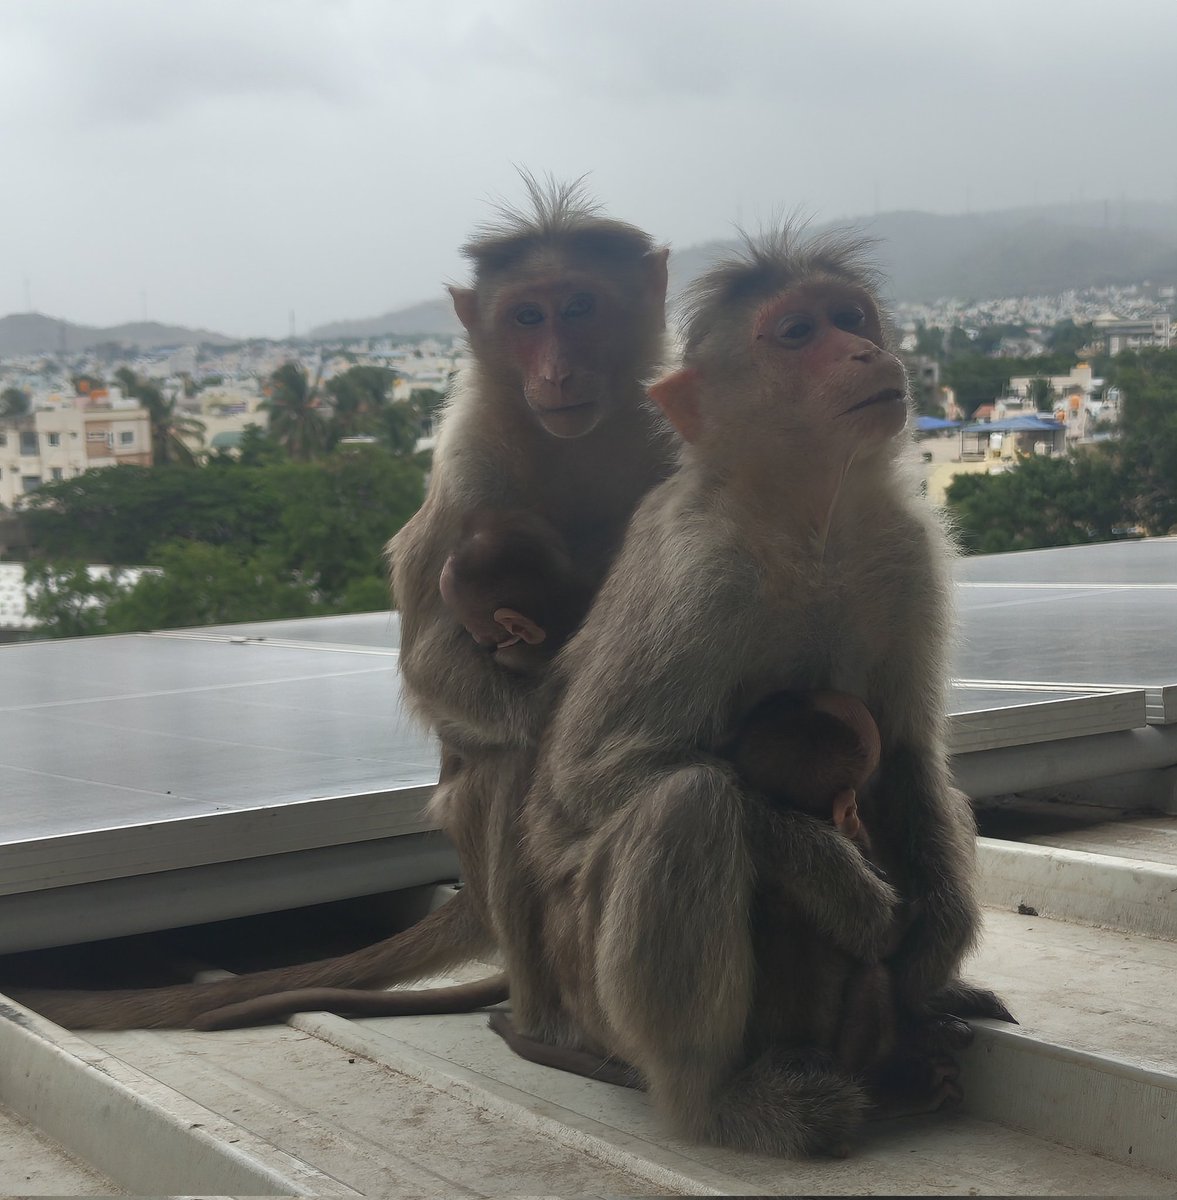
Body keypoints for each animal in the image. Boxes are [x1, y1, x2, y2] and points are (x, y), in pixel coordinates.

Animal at [481, 226, 1011, 1157]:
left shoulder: (907, 553)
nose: (864, 350)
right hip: (587, 981)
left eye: (848, 318)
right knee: (687, 804)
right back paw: (716, 1101)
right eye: (796, 334)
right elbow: (588, 779)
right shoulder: (697, 574)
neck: (807, 518)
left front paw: (937, 941)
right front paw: (834, 877)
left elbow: (911, 750)